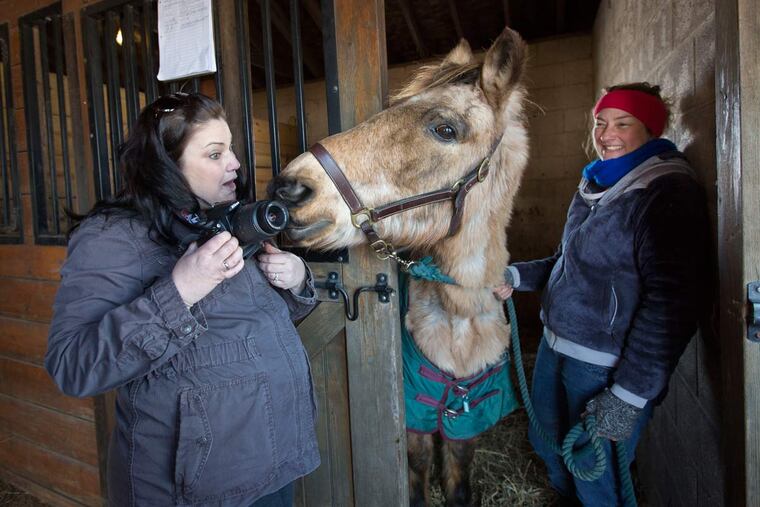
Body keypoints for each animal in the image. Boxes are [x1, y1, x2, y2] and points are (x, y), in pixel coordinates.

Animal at [272, 27, 529, 506]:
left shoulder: (467, 421)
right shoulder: (413, 419)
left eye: (445, 129)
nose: (290, 188)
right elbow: (416, 478)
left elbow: (458, 483)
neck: (460, 321)